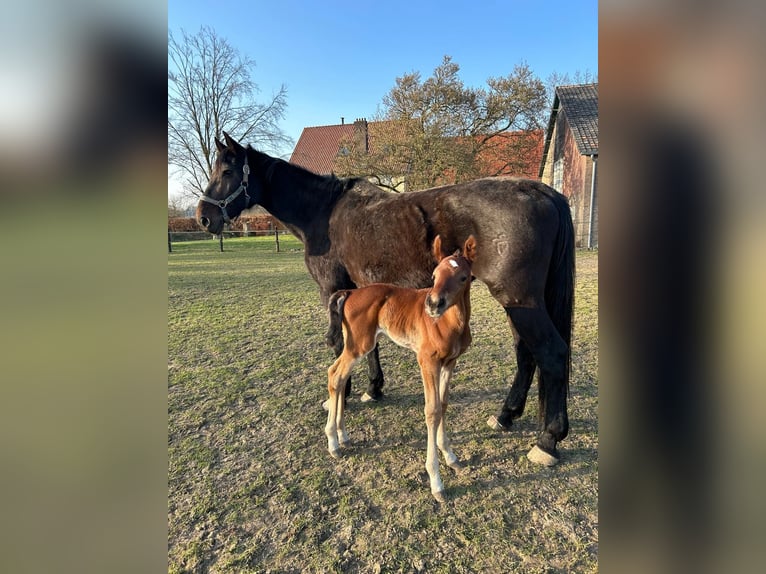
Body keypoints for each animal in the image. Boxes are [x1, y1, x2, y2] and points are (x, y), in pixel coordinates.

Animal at [322, 236, 476, 502]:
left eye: (463, 277)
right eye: (434, 275)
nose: (433, 304)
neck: (448, 323)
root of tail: (350, 292)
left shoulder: (450, 363)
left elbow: (444, 405)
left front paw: (450, 455)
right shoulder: (427, 361)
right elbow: (432, 411)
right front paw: (436, 482)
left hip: (354, 345)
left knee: (339, 377)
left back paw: (342, 436)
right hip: (359, 345)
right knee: (335, 375)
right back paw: (333, 442)